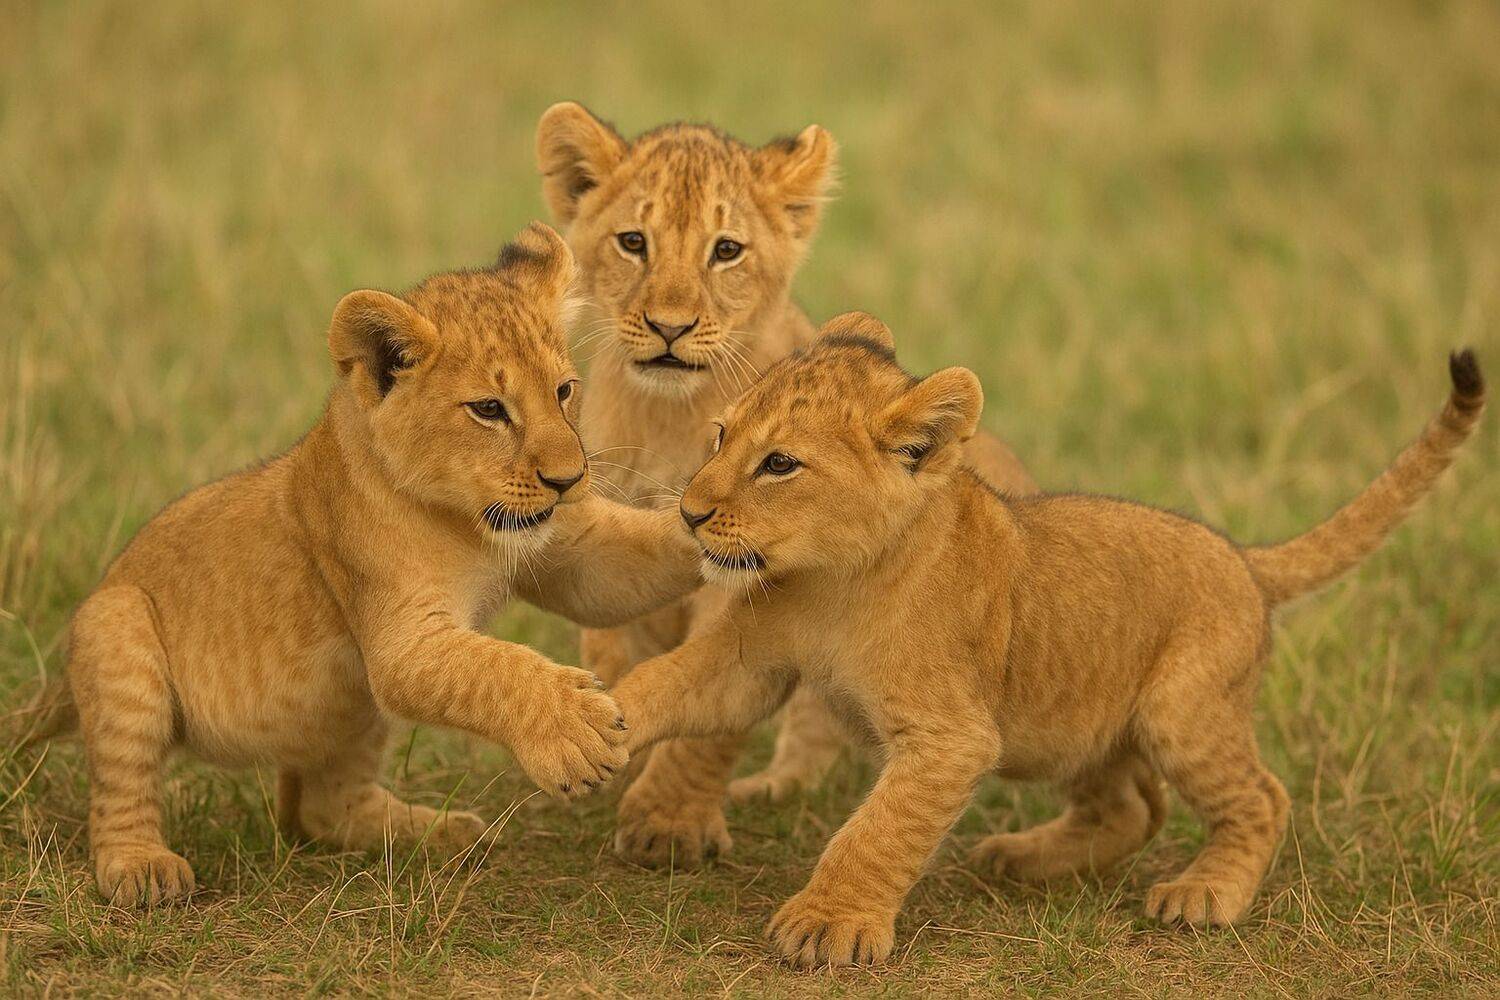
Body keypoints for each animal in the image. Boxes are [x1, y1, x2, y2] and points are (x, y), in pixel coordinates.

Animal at [16, 223, 703, 907]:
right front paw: (575, 733)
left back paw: (434, 831)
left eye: (563, 391)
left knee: (320, 810)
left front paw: (720, 522)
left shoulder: (564, 548)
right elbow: (497, 668)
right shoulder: (402, 641)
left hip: (349, 707)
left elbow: (619, 569)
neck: (469, 524)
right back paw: (142, 869)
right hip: (117, 625)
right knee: (121, 784)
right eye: (488, 409)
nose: (569, 480)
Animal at [535, 103, 1037, 865]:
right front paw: (607, 735)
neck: (666, 413)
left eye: (726, 251)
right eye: (632, 242)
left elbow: (711, 715)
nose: (669, 327)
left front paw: (668, 820)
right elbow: (614, 643)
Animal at [609, 312, 1484, 966]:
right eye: (719, 436)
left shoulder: (953, 737)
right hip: (1078, 722)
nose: (687, 513)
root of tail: (1241, 556)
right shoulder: (748, 661)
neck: (834, 581)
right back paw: (1021, 860)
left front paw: (829, 925)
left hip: (1181, 711)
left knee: (1260, 797)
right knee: (1132, 808)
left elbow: (878, 829)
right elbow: (663, 687)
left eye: (781, 464)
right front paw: (592, 727)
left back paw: (1202, 895)